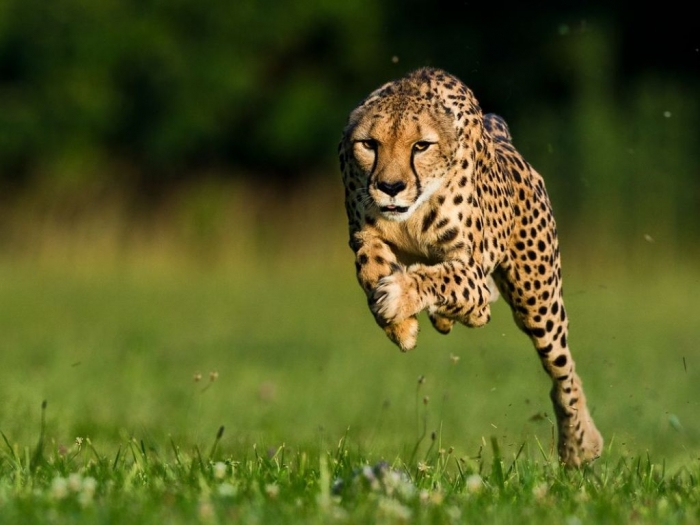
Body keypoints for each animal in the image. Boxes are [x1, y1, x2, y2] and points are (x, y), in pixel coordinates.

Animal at [338, 67, 603, 467]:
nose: (390, 186)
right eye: (369, 144)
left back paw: (579, 444)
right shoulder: (364, 234)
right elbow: (370, 267)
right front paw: (400, 326)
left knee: (563, 370)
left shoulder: (471, 270)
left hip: (537, 301)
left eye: (421, 146)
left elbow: (442, 277)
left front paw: (399, 297)